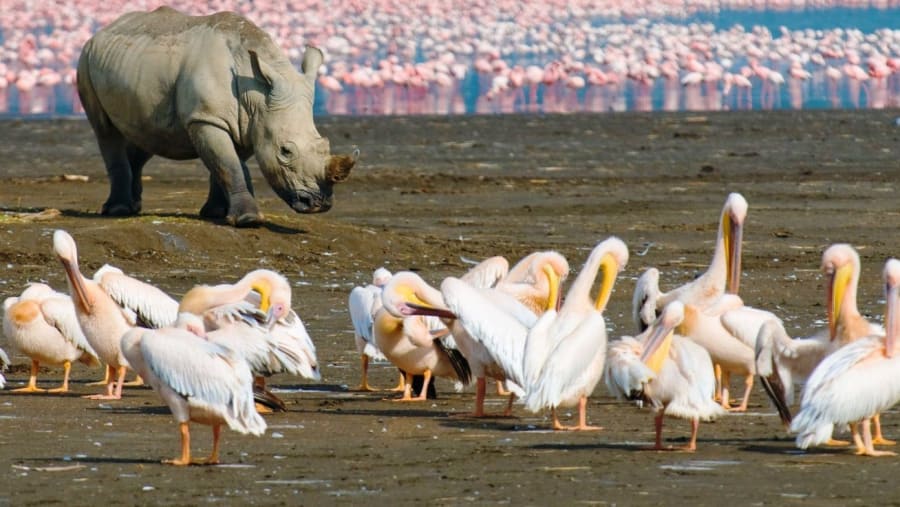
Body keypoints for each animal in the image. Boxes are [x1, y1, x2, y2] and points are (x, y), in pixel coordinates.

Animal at [76, 7, 356, 226]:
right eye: (285, 151)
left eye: (324, 145)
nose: (319, 204)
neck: (255, 94)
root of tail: (103, 30)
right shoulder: (207, 118)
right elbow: (228, 163)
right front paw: (248, 220)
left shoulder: (250, 123)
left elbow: (227, 163)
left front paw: (216, 213)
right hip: (85, 60)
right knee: (106, 131)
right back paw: (118, 210)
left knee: (148, 135)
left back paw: (133, 208)